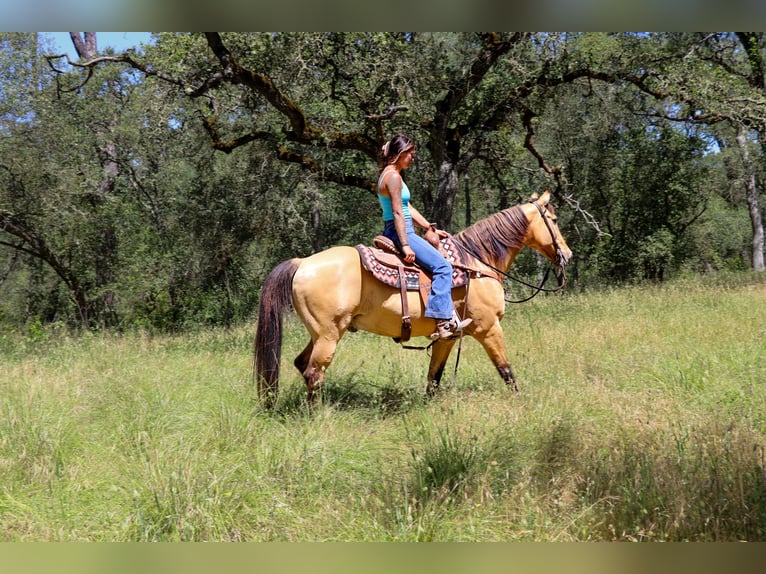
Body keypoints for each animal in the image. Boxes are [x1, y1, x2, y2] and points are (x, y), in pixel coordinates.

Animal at [254, 190, 572, 407]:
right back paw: (319, 415)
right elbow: (506, 371)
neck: (477, 264)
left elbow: (434, 378)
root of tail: (302, 263)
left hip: (320, 333)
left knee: (301, 364)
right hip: (329, 335)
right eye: (554, 220)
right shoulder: (489, 328)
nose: (567, 255)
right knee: (314, 372)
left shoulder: (448, 337)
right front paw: (521, 401)